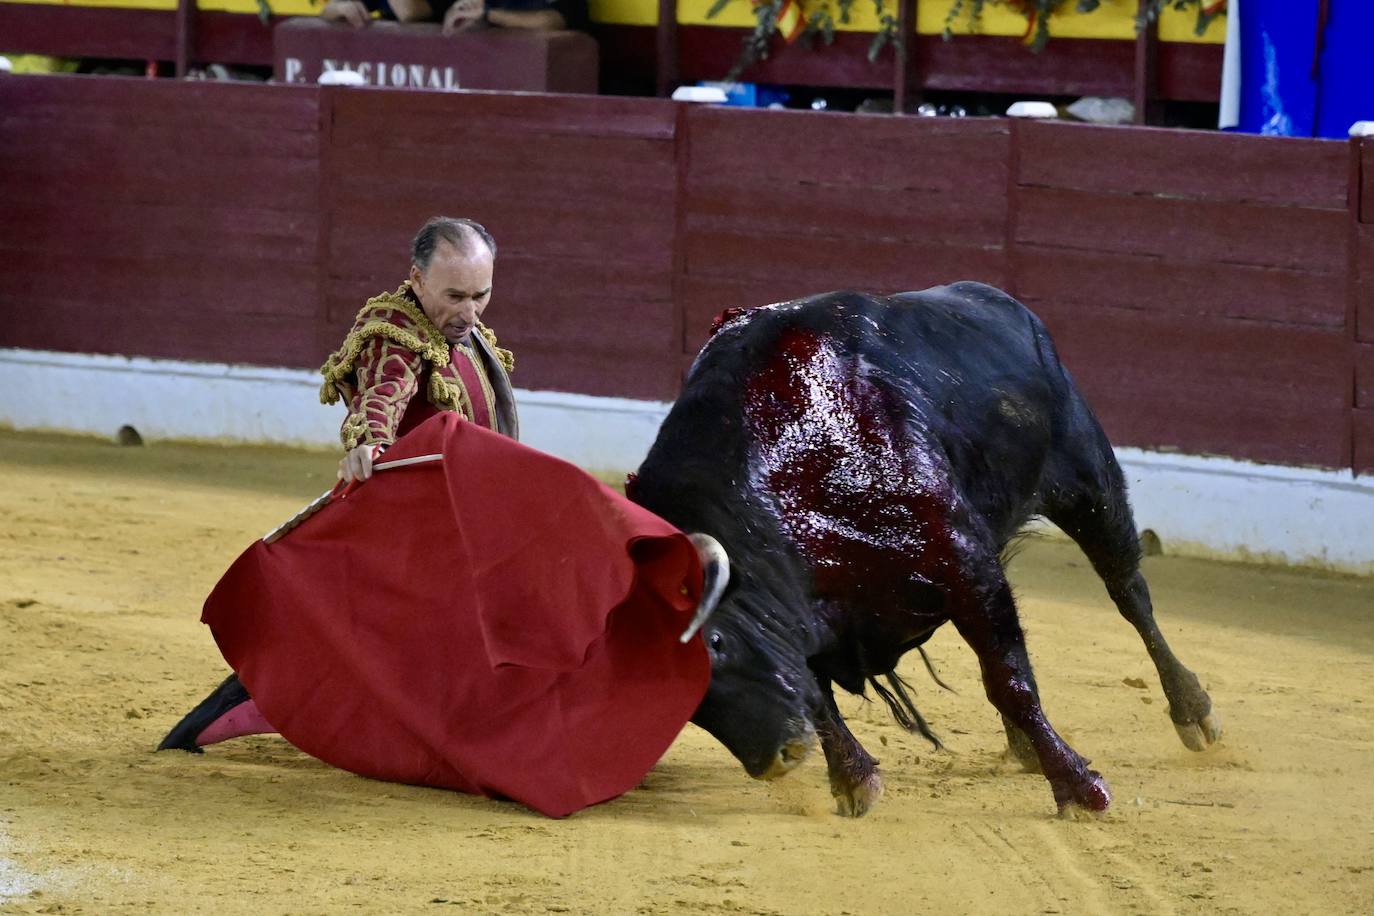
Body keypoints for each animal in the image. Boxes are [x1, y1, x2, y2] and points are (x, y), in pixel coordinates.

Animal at [629, 284, 1220, 818]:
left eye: (717, 642)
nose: (774, 760)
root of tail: (1003, 303)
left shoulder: (965, 564)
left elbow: (1008, 680)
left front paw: (1080, 789)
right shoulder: (807, 608)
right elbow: (818, 694)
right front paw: (854, 780)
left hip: (1088, 484)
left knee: (1128, 594)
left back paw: (1192, 712)